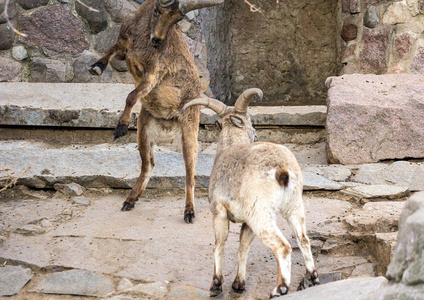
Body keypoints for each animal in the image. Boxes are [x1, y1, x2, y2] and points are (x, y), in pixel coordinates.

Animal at [89, 0, 222, 223]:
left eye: (177, 19)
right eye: (156, 11)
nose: (158, 40)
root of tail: (168, 123)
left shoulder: (154, 70)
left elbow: (132, 95)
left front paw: (120, 129)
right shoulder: (124, 45)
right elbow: (112, 50)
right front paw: (96, 67)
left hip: (189, 129)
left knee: (190, 173)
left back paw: (189, 213)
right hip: (144, 128)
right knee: (148, 164)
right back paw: (130, 200)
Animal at [182, 88, 318, 298]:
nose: (255, 134)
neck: (229, 147)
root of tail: (282, 171)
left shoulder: (219, 212)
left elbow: (219, 245)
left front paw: (216, 285)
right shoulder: (247, 221)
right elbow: (243, 247)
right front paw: (238, 284)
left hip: (261, 214)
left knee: (283, 246)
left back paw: (279, 288)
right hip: (294, 206)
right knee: (303, 238)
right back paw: (310, 279)